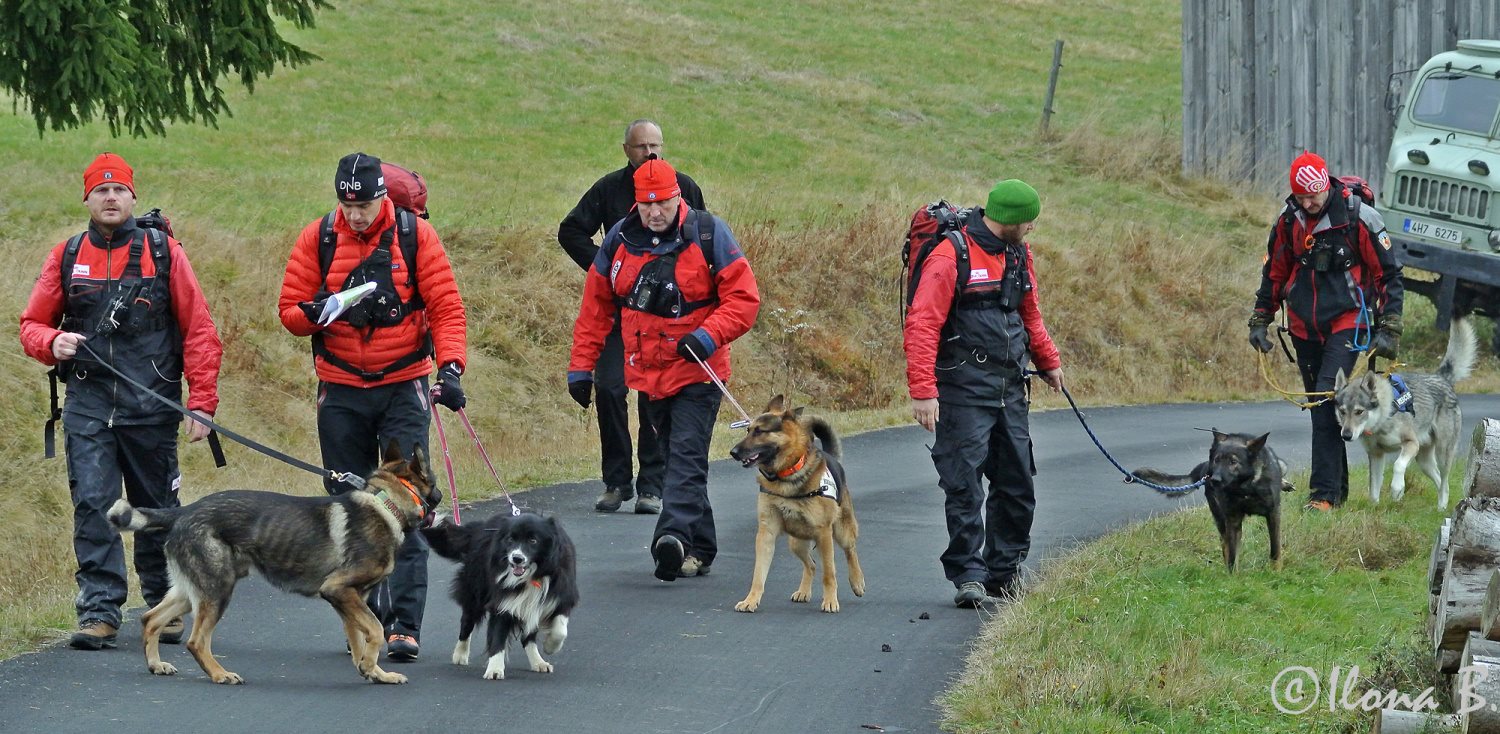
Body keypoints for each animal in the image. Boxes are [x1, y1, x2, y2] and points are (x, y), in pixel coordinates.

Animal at [106, 441, 438, 687]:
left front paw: (374, 671)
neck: (386, 502)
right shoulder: (339, 590)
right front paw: (370, 664)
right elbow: (376, 630)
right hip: (217, 591)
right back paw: (219, 674)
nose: (442, 496)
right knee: (196, 641)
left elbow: (360, 637)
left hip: (192, 593)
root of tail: (184, 511)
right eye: (433, 482)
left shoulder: (350, 599)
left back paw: (156, 664)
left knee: (150, 619)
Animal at [429, 513, 585, 678]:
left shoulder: (562, 594)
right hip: (476, 589)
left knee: (528, 636)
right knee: (467, 621)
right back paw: (460, 655)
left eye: (533, 540)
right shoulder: (502, 600)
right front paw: (494, 669)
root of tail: (480, 528)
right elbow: (498, 634)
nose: (517, 558)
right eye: (510, 539)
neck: (532, 574)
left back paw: (538, 662)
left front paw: (550, 646)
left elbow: (560, 629)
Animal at [729, 396, 870, 612]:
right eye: (748, 430)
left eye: (760, 431)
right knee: (811, 564)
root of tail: (831, 457)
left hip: (841, 532)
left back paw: (857, 581)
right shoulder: (766, 534)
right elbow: (758, 575)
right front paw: (751, 600)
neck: (786, 474)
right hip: (796, 542)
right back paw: (804, 591)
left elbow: (829, 573)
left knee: (850, 551)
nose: (733, 452)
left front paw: (830, 600)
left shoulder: (824, 533)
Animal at [1128, 429, 1296, 573]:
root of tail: (1205, 467)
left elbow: (1275, 549)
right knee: (1225, 545)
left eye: (1233, 462)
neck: (1244, 488)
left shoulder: (1273, 514)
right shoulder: (1232, 520)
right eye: (1217, 460)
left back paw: (1284, 483)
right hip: (1221, 520)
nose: (1215, 479)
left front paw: (1276, 571)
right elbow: (1232, 556)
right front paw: (1233, 578)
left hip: (1281, 466)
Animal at [1338, 318, 1476, 507]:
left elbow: (1398, 466)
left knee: (1445, 483)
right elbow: (1373, 489)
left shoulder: (1411, 444)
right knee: (1441, 481)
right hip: (1424, 461)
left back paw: (1441, 507)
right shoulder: (1376, 455)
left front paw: (1397, 490)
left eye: (1359, 412)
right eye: (1342, 412)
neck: (1384, 418)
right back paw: (1441, 509)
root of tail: (1441, 377)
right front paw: (1375, 508)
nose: (1346, 435)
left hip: (1442, 454)